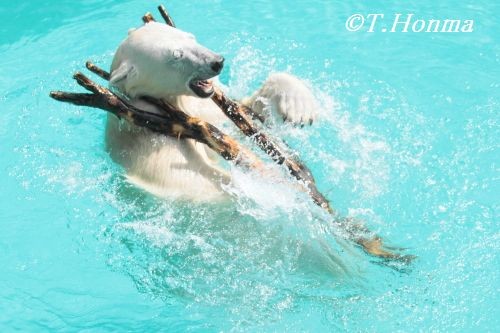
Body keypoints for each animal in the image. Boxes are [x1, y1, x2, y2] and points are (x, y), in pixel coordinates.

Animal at [105, 22, 318, 202]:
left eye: (190, 36)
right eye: (176, 55)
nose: (217, 62)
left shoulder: (211, 107)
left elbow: (248, 114)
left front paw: (299, 107)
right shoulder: (152, 137)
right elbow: (195, 179)